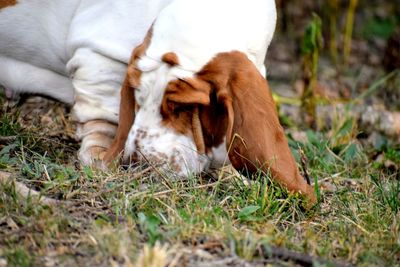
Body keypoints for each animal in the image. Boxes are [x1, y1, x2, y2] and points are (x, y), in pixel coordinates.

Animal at [0, 0, 316, 203]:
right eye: (137, 95)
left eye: (184, 107)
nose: (139, 163)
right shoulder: (96, 51)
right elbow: (103, 114)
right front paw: (101, 155)